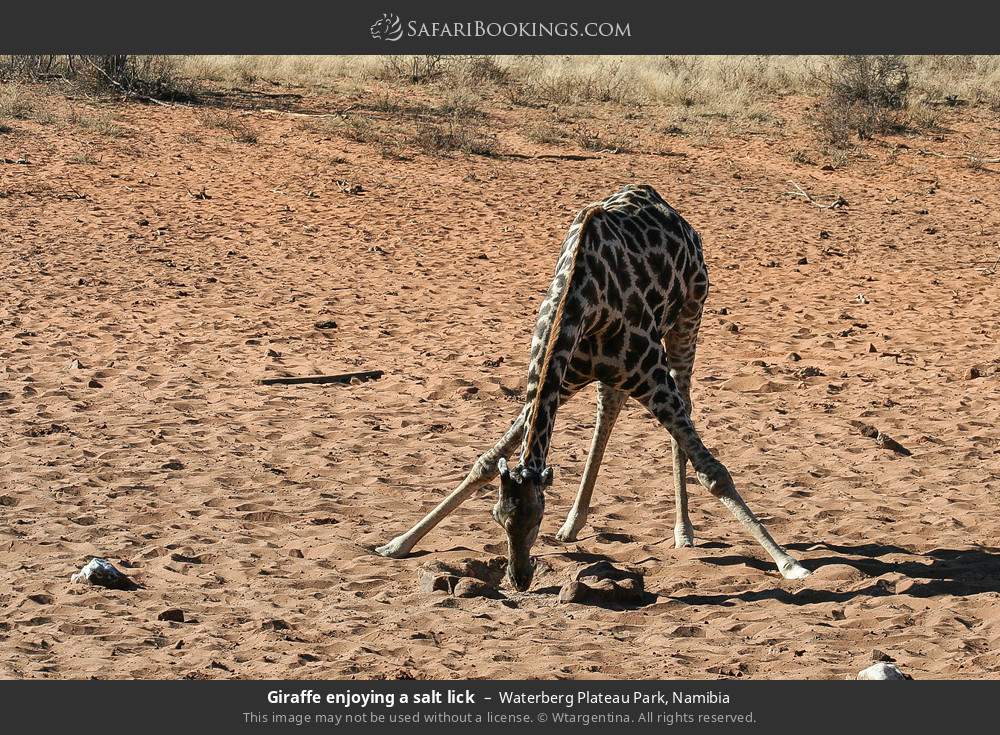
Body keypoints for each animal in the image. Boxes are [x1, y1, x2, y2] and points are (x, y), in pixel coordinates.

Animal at [376, 184, 810, 590]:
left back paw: (684, 531)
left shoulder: (650, 370)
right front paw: (398, 543)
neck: (580, 300)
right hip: (604, 374)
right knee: (610, 407)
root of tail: (667, 207)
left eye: (536, 519)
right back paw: (574, 524)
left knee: (682, 406)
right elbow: (485, 461)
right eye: (498, 518)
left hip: (688, 319)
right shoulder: (560, 377)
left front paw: (788, 563)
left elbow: (713, 471)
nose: (519, 577)